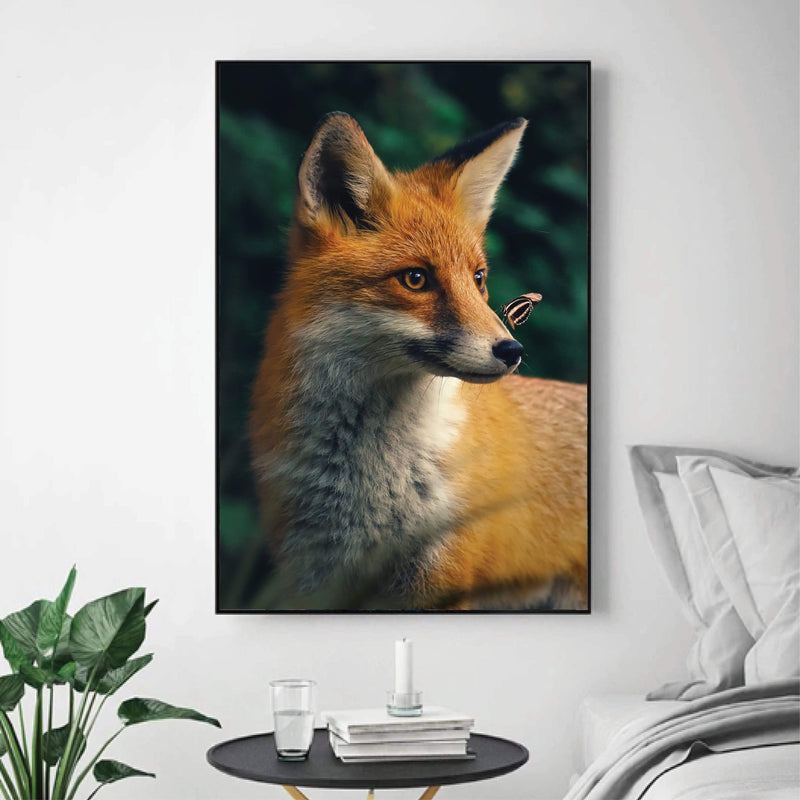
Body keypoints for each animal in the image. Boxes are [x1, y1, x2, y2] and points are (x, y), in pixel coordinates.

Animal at [249, 112, 587, 610]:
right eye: (415, 279)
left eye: (478, 278)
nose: (512, 351)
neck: (369, 483)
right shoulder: (315, 579)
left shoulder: (439, 579)